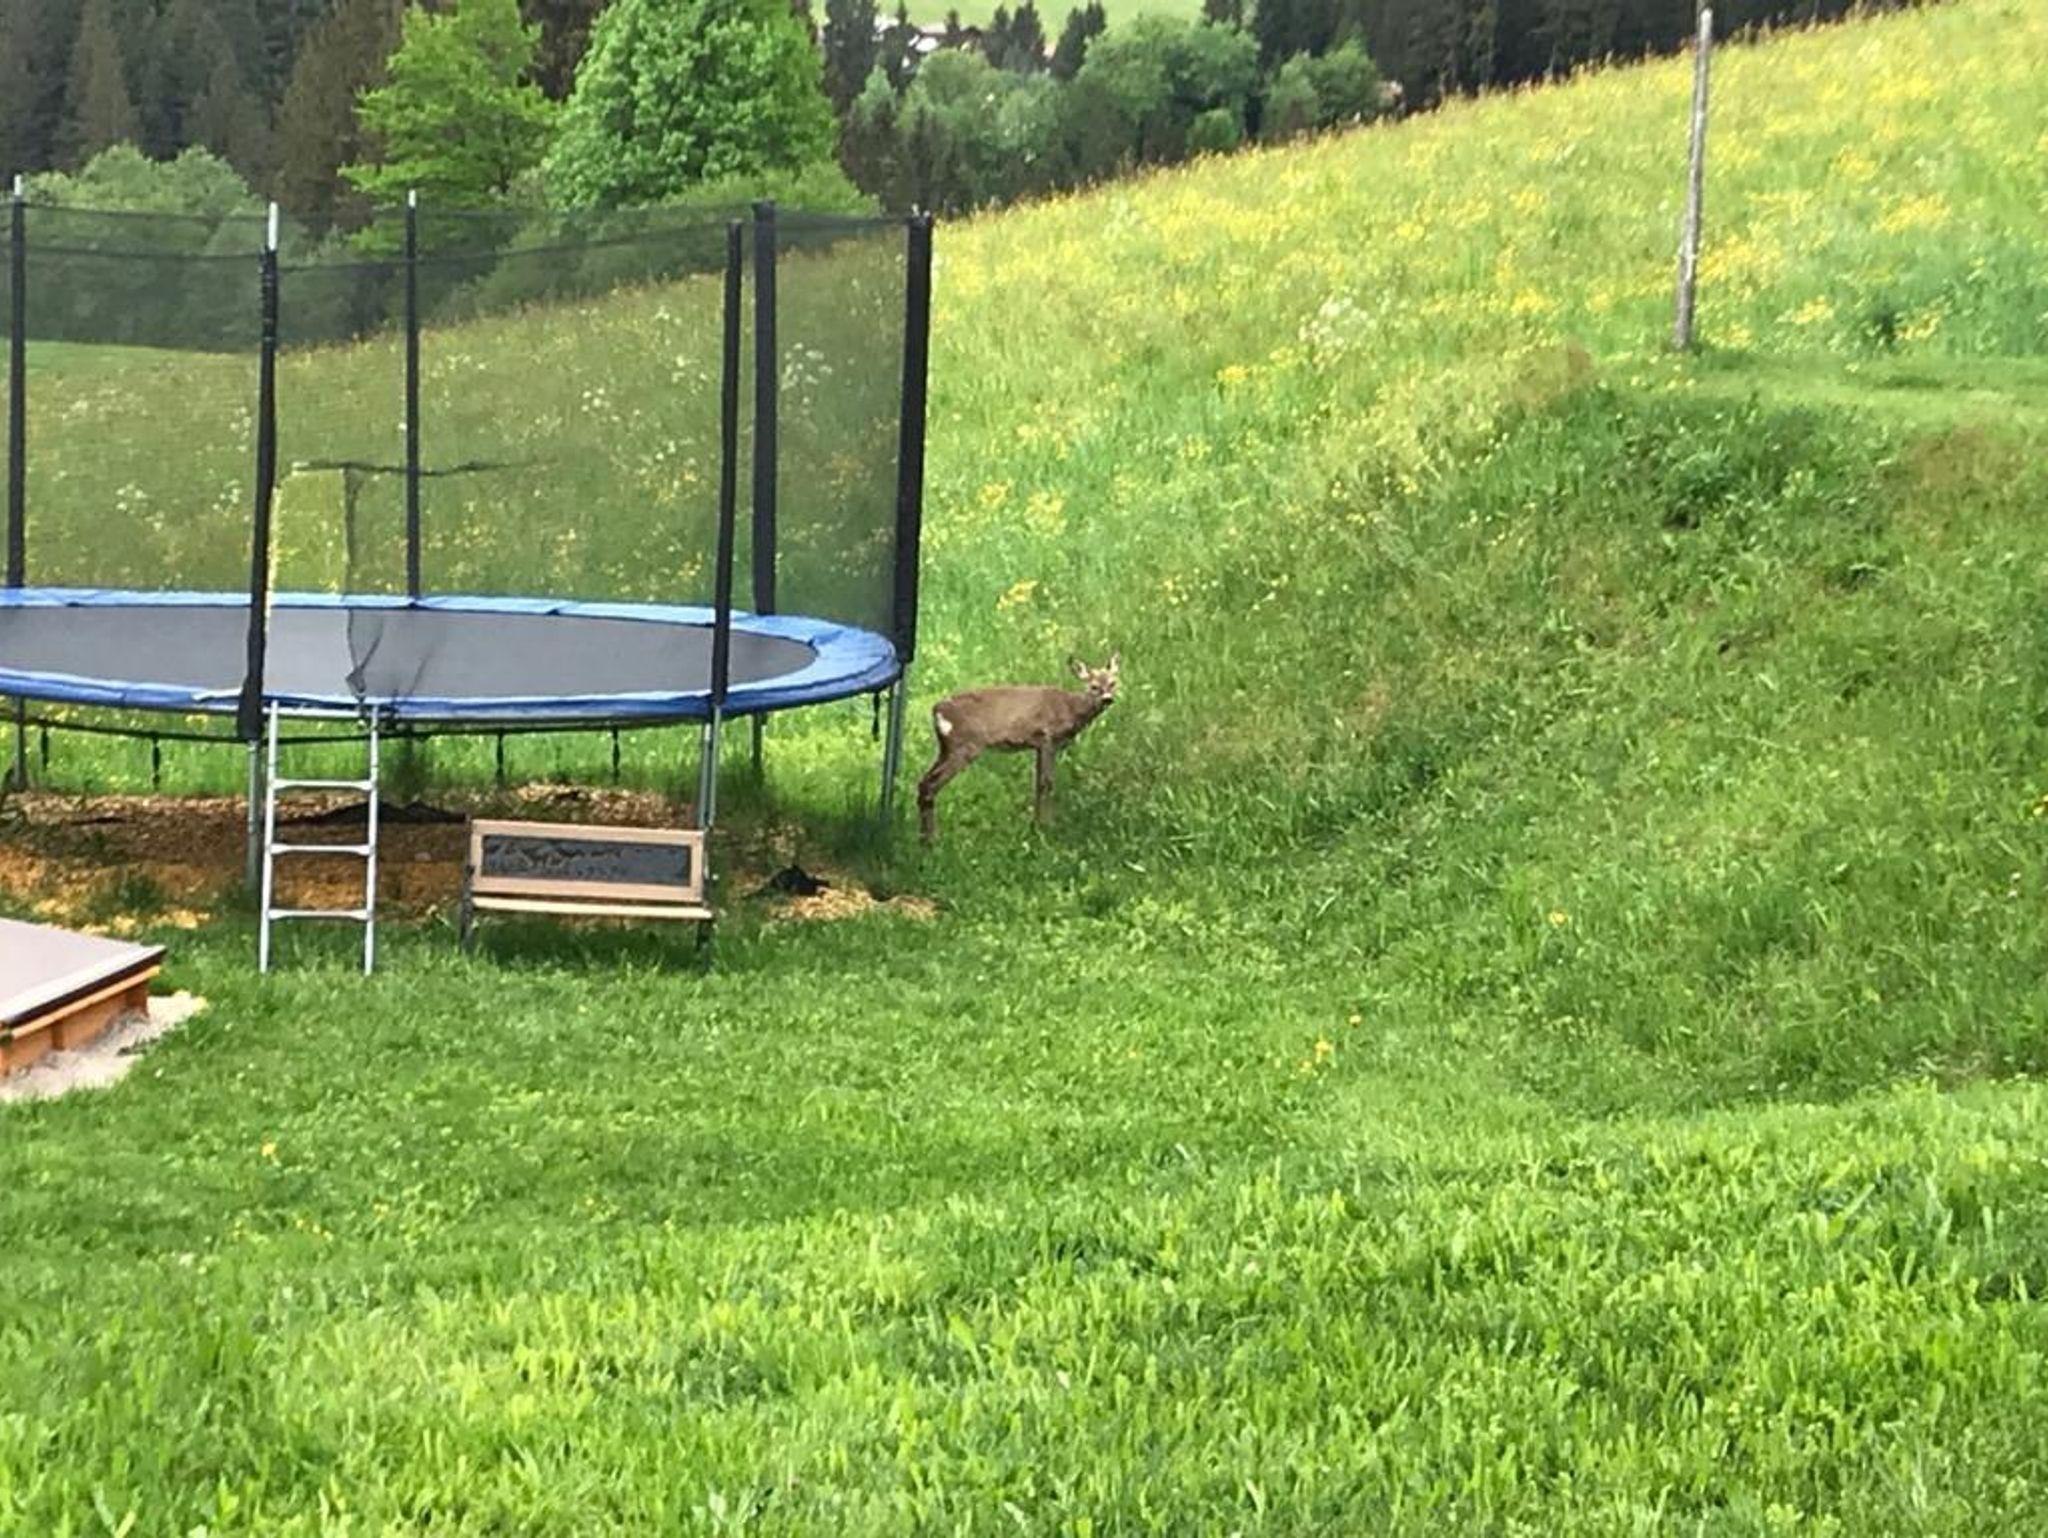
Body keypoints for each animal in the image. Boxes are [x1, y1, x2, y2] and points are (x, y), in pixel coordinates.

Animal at [917, 654, 1121, 843]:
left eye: (1113, 683)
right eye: (1094, 686)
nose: (1107, 699)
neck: (1071, 708)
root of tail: (936, 710)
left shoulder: (1038, 745)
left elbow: (1037, 783)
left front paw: (1036, 825)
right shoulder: (1049, 738)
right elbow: (1047, 783)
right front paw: (1047, 826)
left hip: (946, 748)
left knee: (923, 781)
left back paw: (924, 838)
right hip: (965, 746)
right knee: (930, 784)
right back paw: (931, 840)